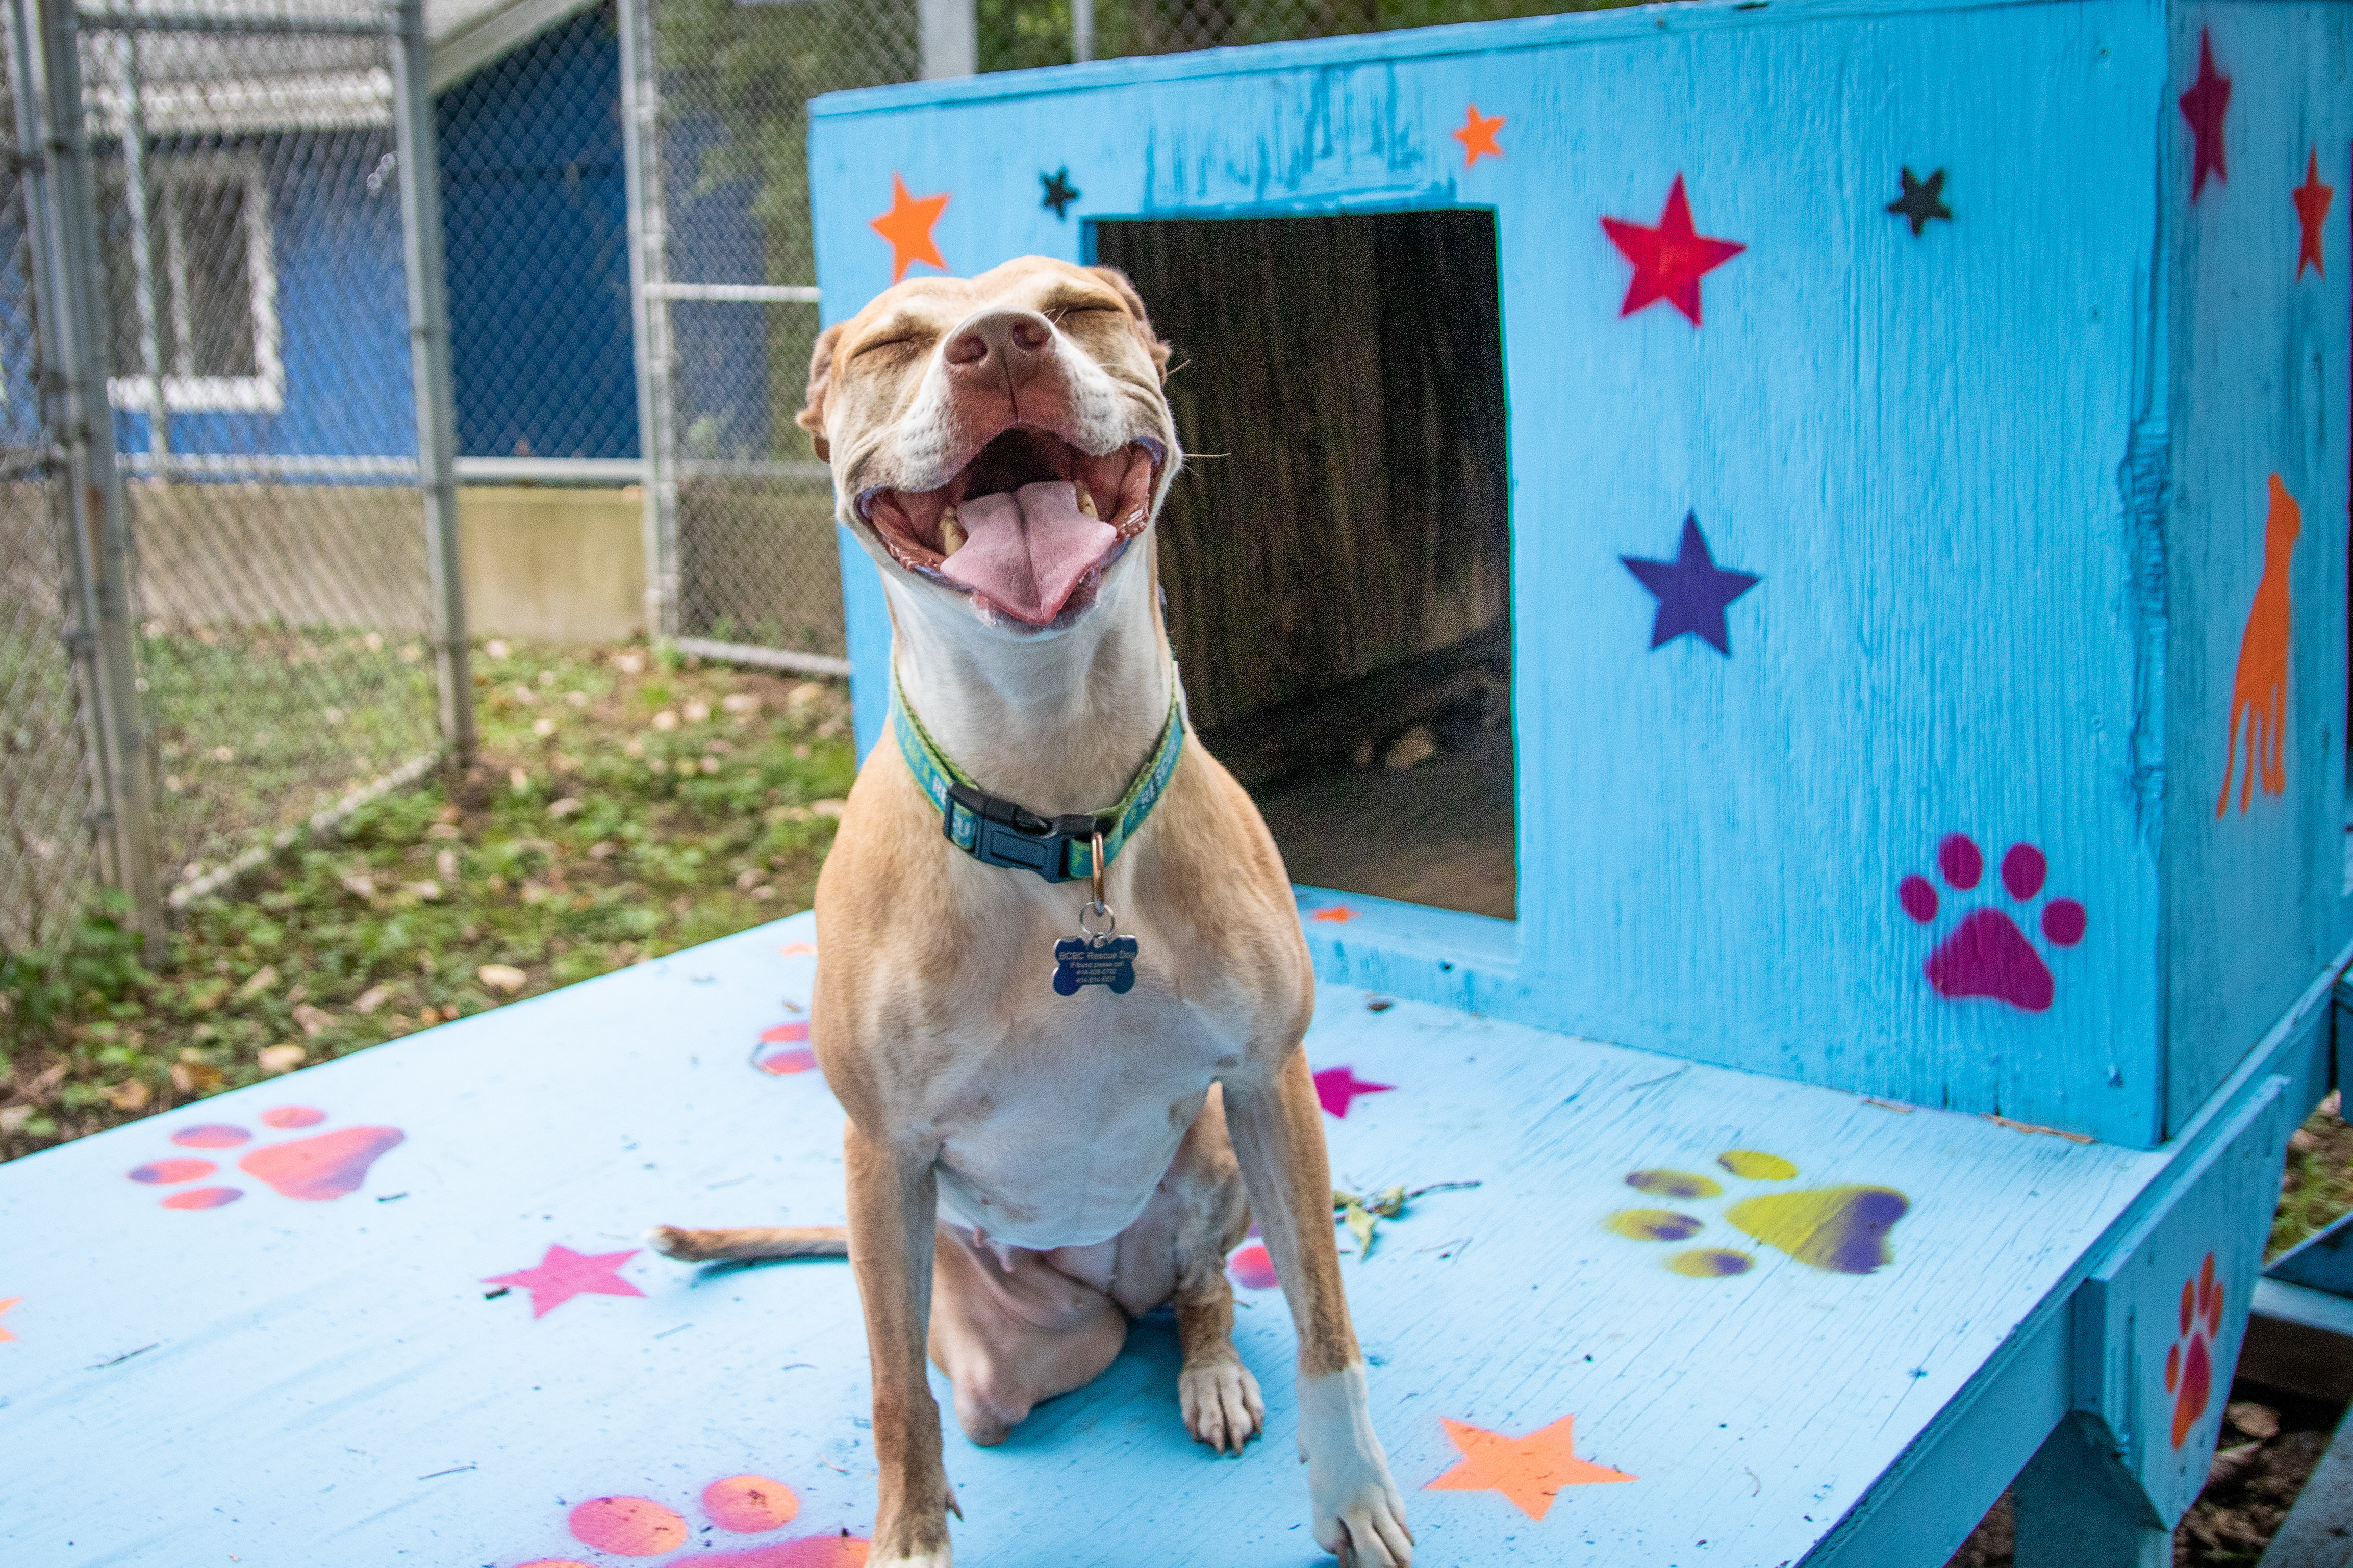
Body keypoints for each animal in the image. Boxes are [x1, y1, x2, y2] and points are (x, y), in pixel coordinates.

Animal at [654, 261, 1402, 1568]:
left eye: (1078, 307)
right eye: (894, 342)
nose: (1002, 342)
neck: (1058, 807)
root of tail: (1103, 1285)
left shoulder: (1269, 1077)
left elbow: (1327, 1324)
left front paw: (1352, 1493)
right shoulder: (884, 1149)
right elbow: (894, 1390)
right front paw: (908, 1537)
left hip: (1218, 1167)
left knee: (1204, 1294)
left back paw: (1209, 1370)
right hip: (998, 1322)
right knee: (984, 1381)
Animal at [2212, 475, 2306, 822]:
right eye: (2288, 505)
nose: (2274, 480)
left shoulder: (2277, 675)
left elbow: (2273, 729)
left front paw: (2273, 778)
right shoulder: (2272, 679)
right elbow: (2269, 731)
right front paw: (2270, 779)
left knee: (2251, 738)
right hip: (2245, 701)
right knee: (2241, 745)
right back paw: (2235, 797)